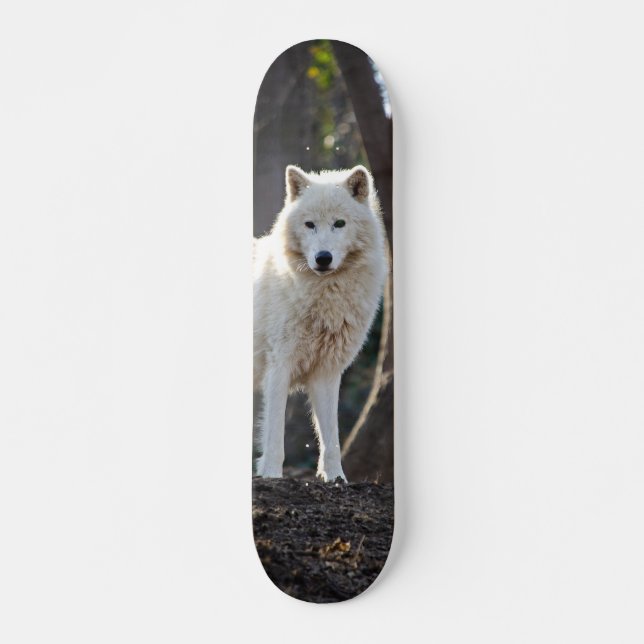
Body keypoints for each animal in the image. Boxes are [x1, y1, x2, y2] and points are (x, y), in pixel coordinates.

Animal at [253, 165, 387, 482]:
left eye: (339, 224)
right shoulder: (279, 365)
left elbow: (332, 439)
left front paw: (336, 479)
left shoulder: (327, 371)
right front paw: (271, 476)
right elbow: (274, 436)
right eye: (309, 224)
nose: (323, 258)